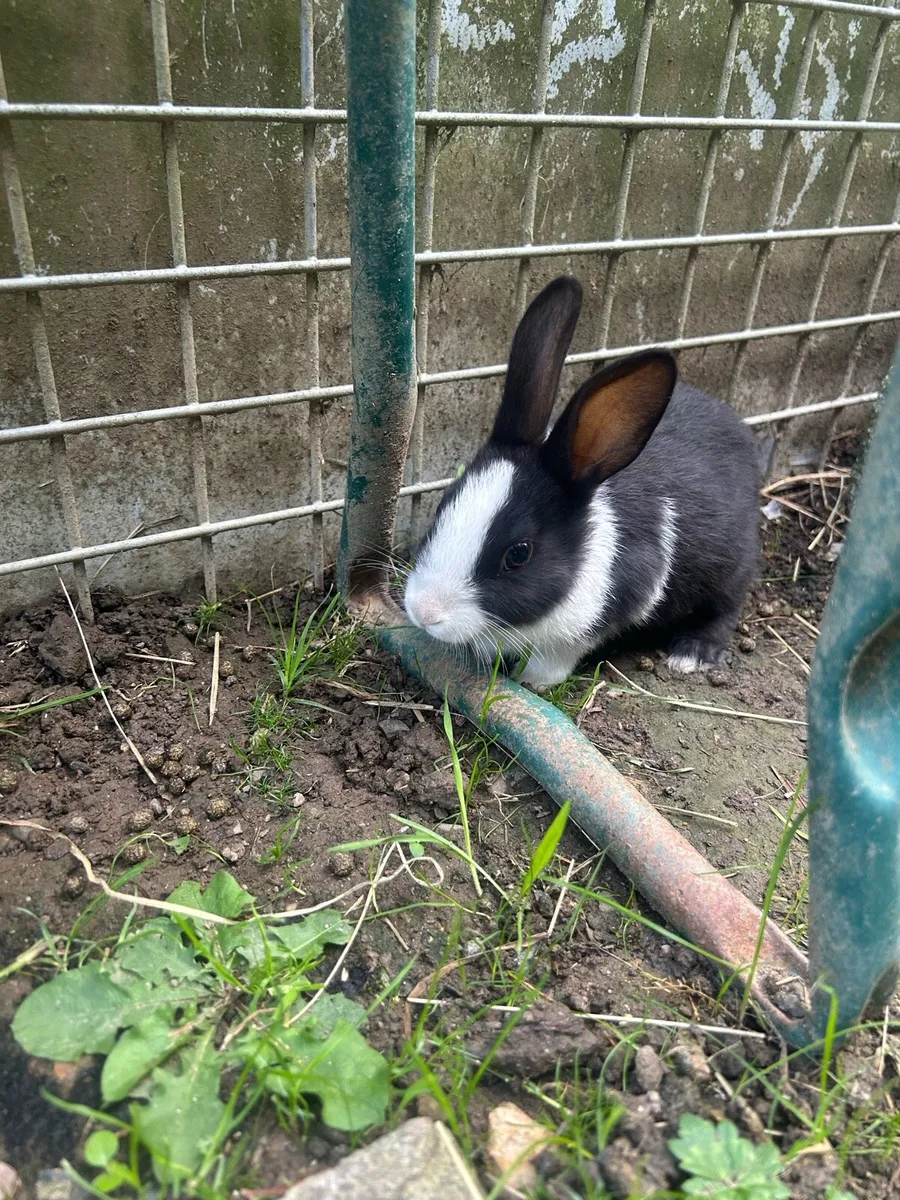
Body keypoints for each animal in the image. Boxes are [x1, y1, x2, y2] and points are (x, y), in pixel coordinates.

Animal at [402, 274, 760, 689]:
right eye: (440, 509)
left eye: (519, 554)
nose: (424, 612)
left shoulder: (607, 609)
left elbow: (559, 655)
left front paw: (532, 681)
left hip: (732, 568)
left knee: (725, 608)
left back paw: (691, 653)